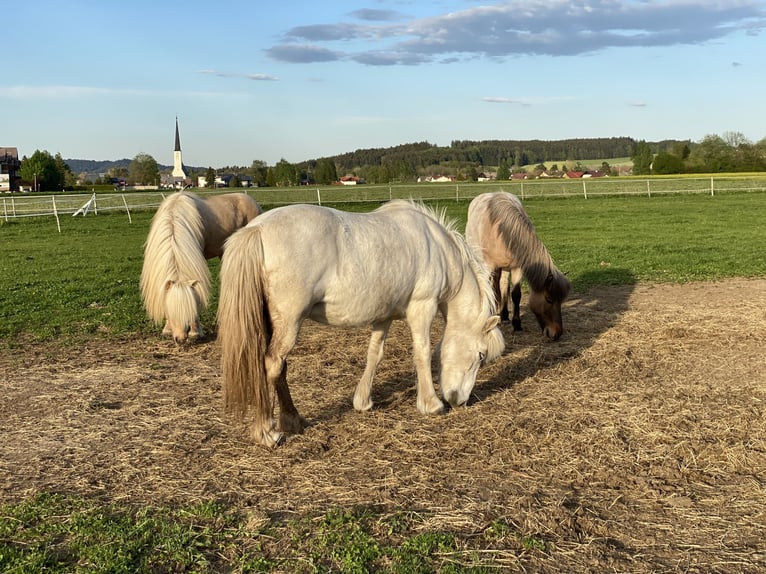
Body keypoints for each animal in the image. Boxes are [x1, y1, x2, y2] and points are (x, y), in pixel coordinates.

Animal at [141, 191, 264, 344]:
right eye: (171, 311)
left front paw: (195, 332)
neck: (174, 220)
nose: (181, 339)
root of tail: (252, 201)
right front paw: (167, 329)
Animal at [218, 200, 504, 448]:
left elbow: (374, 355)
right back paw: (268, 433)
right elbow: (421, 353)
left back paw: (292, 420)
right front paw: (431, 404)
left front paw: (363, 401)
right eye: (481, 355)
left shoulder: (383, 317)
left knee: (275, 368)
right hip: (289, 322)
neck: (438, 249)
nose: (459, 401)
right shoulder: (422, 307)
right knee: (273, 364)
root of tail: (256, 229)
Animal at [464, 191, 572, 344]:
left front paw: (517, 324)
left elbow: (516, 295)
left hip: (505, 268)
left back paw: (503, 315)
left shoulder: (517, 268)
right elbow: (489, 290)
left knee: (503, 284)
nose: (556, 333)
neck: (500, 229)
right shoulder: (489, 266)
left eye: (561, 301)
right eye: (549, 299)